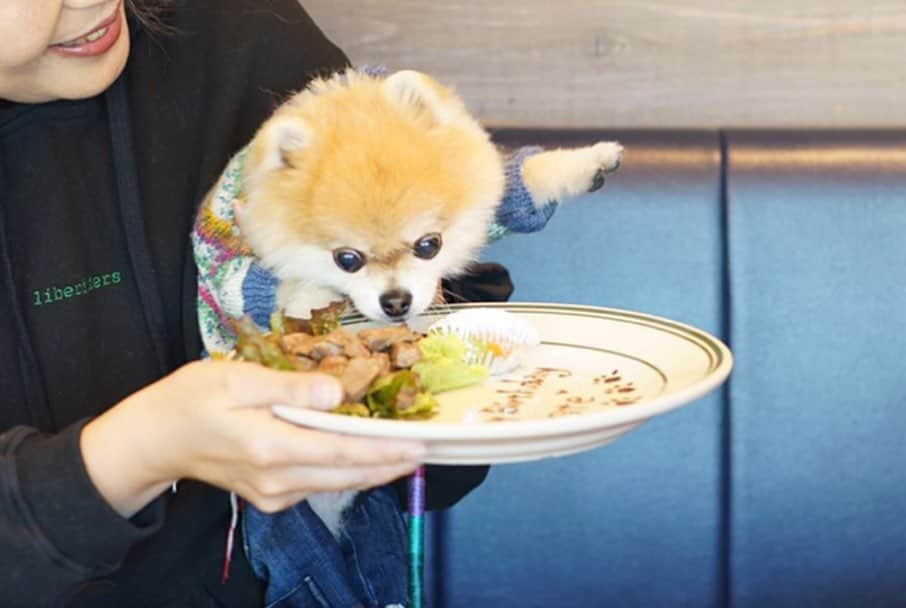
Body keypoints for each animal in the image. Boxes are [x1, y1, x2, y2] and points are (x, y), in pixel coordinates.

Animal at [193, 67, 620, 536]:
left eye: (429, 245)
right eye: (347, 259)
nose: (396, 301)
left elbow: (518, 181)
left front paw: (589, 161)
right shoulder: (229, 262)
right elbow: (277, 287)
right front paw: (311, 299)